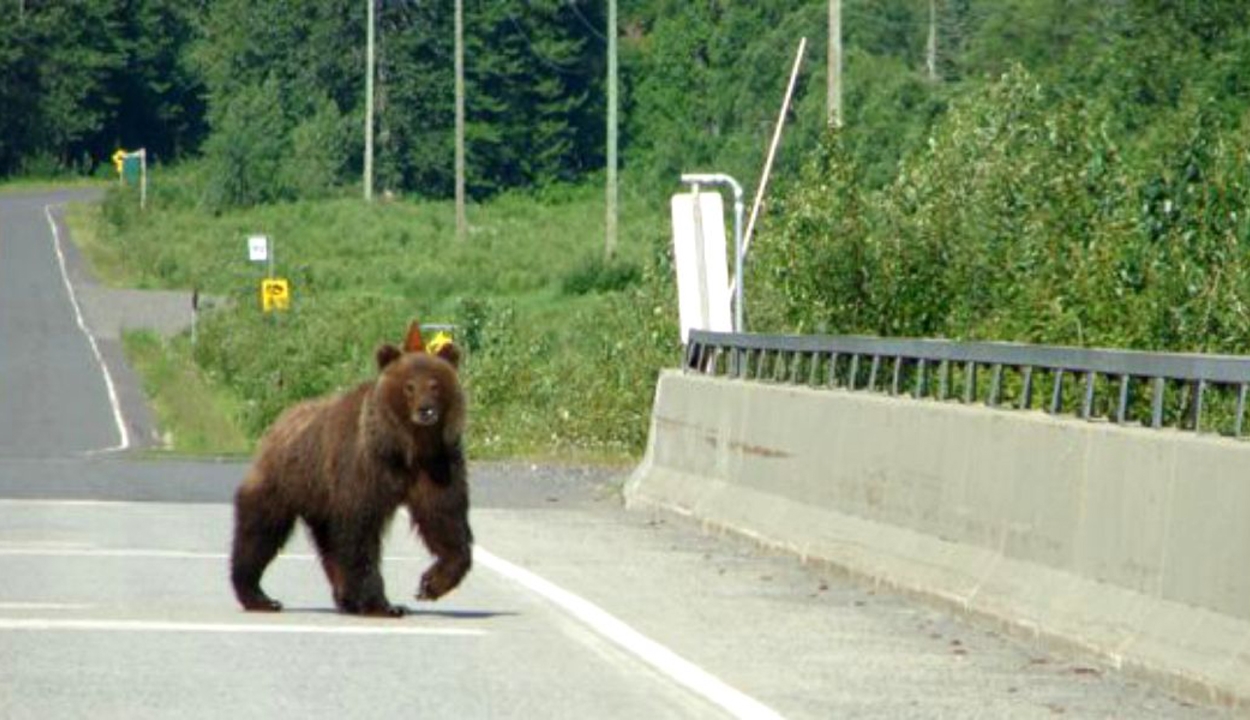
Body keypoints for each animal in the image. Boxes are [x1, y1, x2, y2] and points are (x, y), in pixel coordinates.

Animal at [232, 322, 470, 620]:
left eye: (435, 384)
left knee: (327, 543)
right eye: (409, 386)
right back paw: (259, 596)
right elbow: (359, 532)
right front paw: (383, 604)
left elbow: (445, 518)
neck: (405, 447)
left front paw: (431, 583)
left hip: (320, 499)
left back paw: (345, 598)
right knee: (260, 529)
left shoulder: (436, 465)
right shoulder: (362, 468)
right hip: (286, 479)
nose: (426, 410)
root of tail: (280, 420)